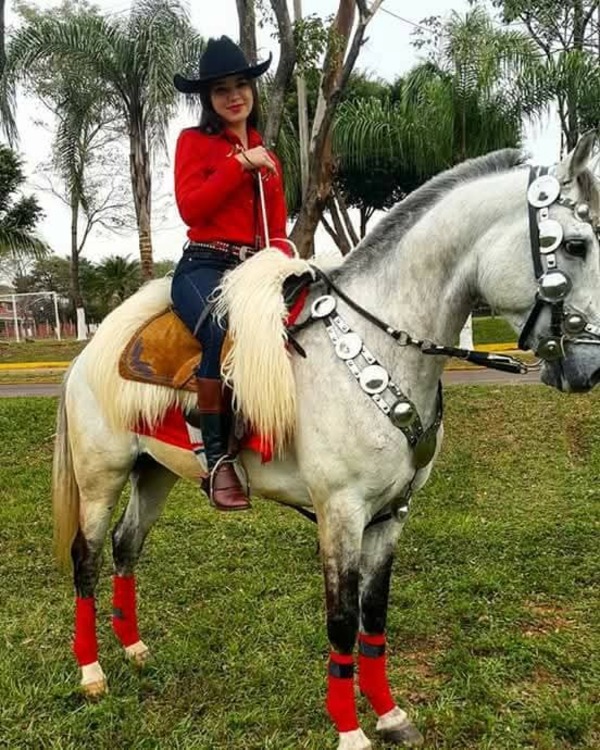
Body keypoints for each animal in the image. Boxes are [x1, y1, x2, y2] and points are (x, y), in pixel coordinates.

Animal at [52, 133, 600, 750]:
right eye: (575, 244)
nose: (591, 367)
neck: (375, 346)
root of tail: (93, 352)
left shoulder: (392, 514)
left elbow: (374, 615)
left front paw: (389, 714)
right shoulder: (340, 512)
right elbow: (341, 621)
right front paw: (350, 730)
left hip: (155, 471)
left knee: (127, 546)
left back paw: (134, 648)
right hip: (101, 476)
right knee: (87, 556)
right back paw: (91, 671)